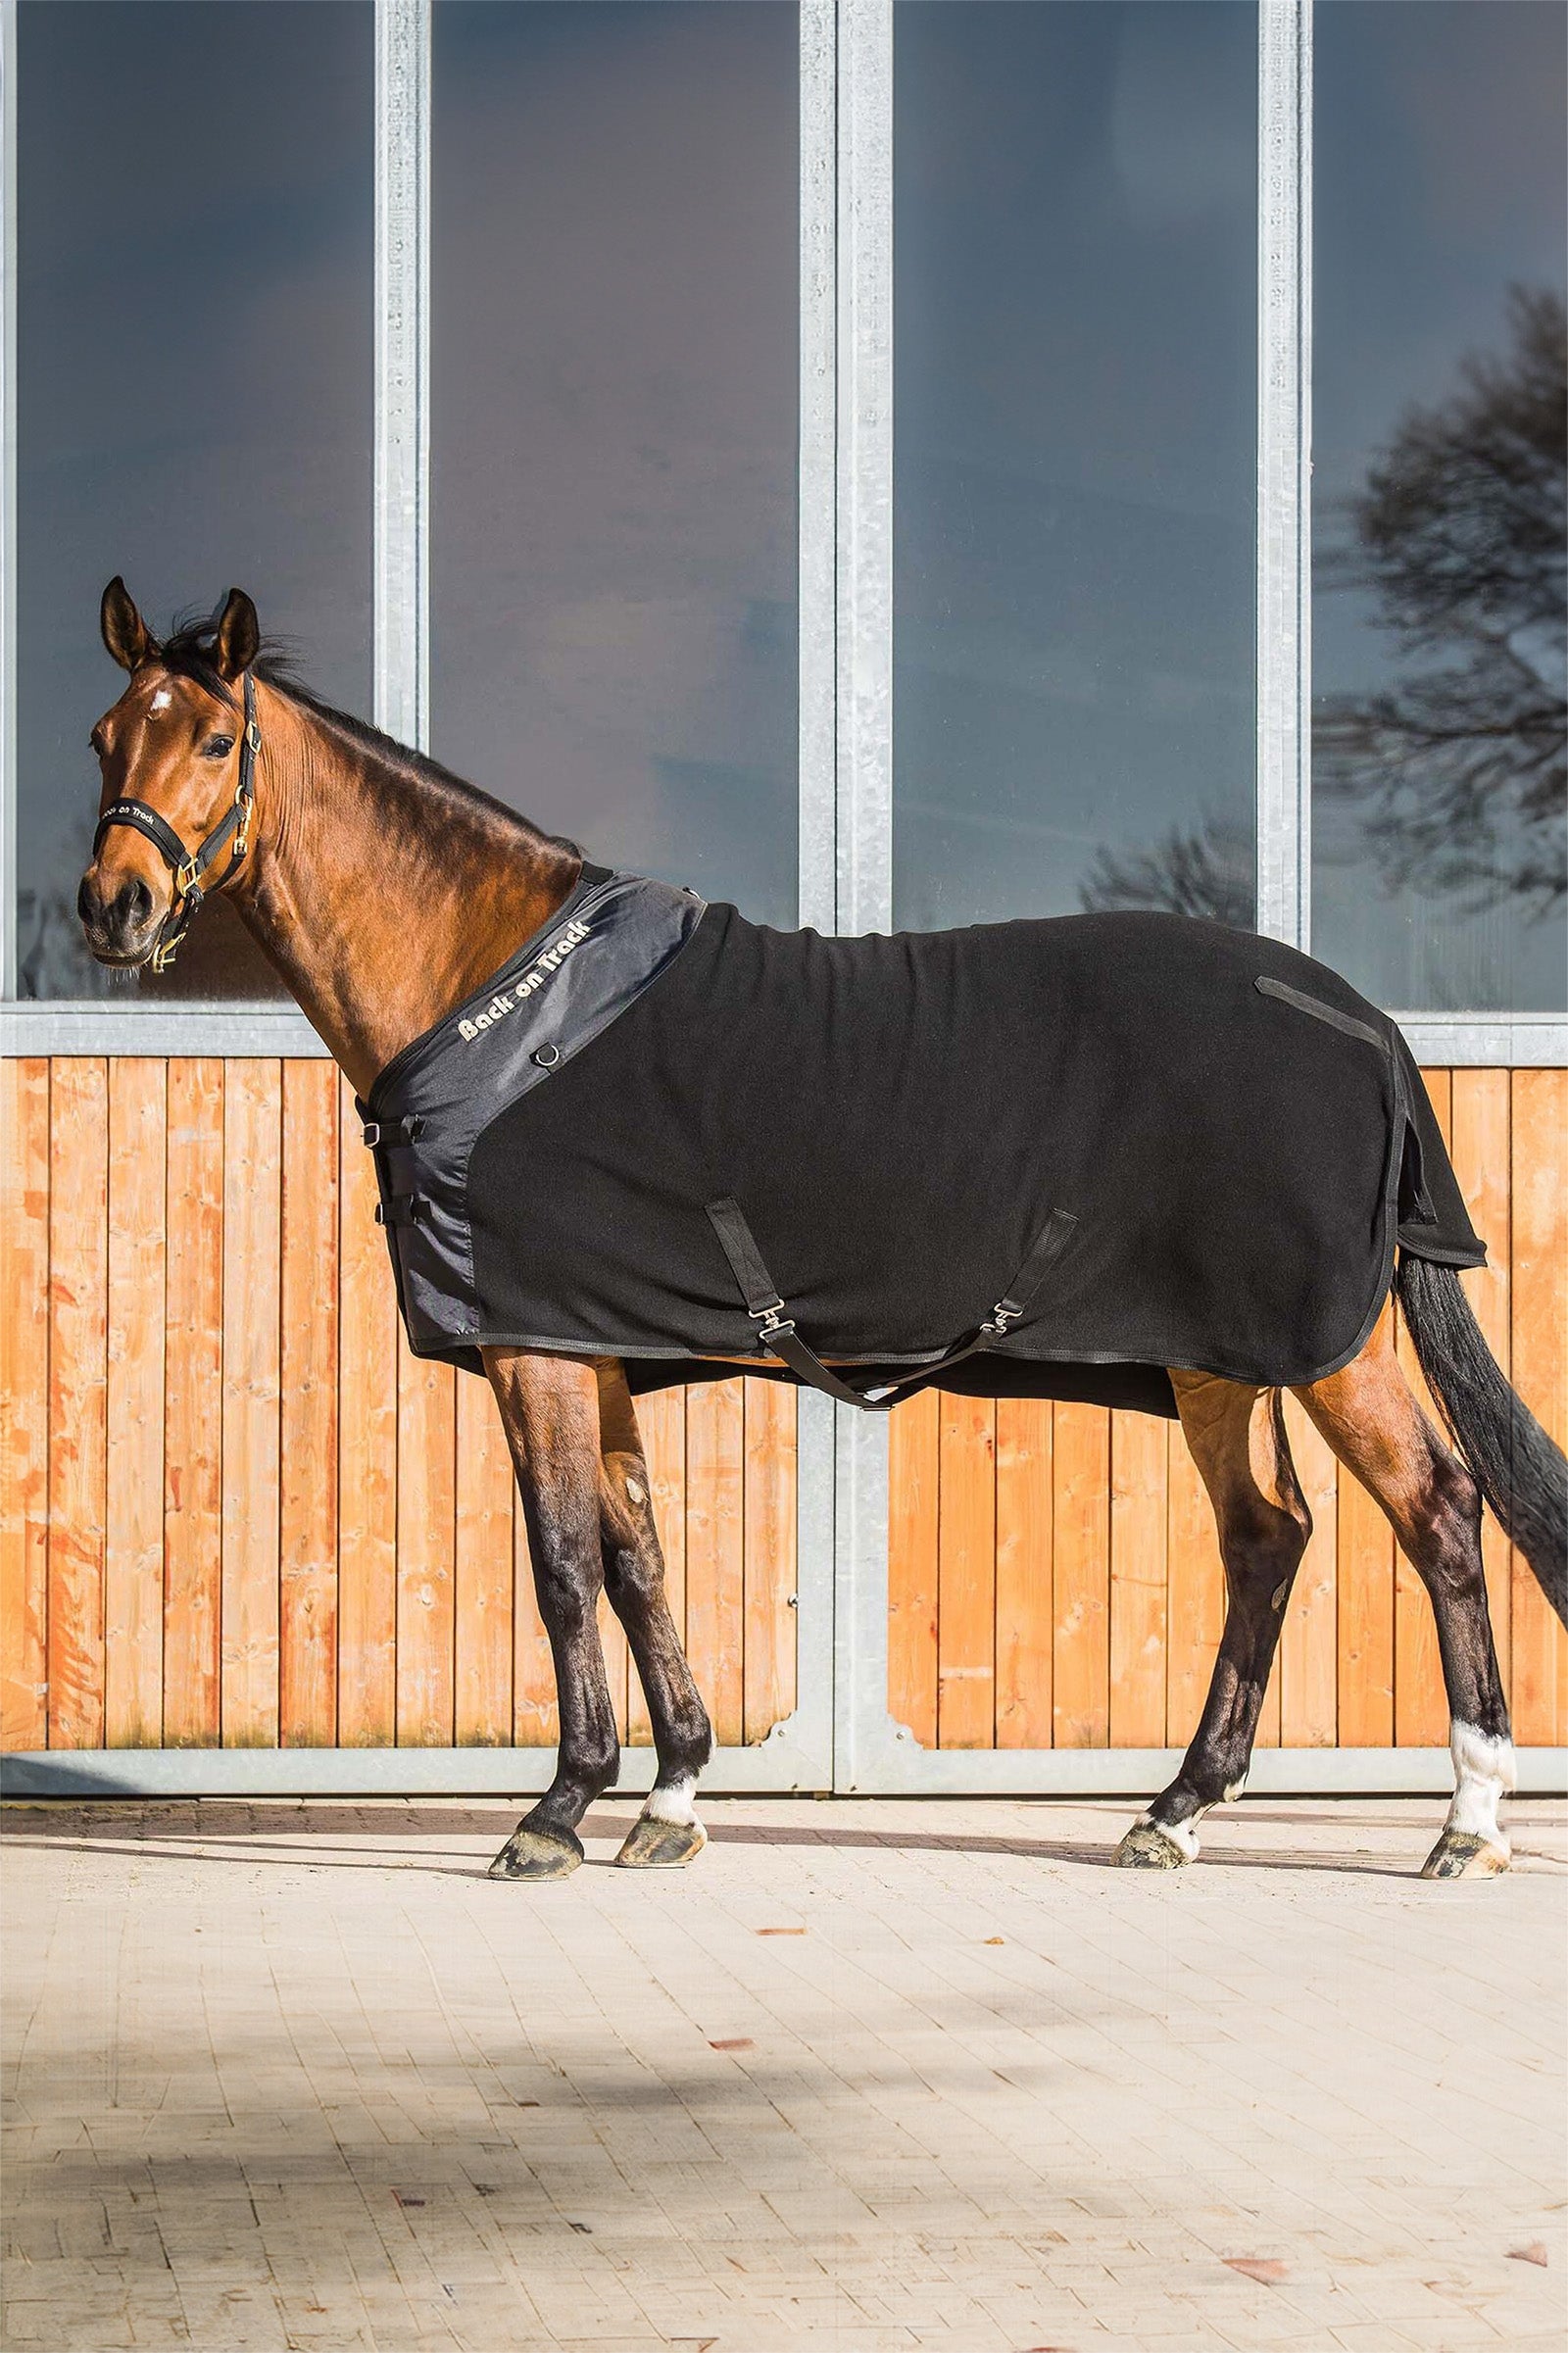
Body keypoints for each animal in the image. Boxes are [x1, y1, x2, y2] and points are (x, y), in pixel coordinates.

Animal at [77, 579, 1567, 1883]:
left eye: (214, 738)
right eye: (104, 737)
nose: (113, 906)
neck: (497, 999)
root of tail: (1364, 1023)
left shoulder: (534, 1347)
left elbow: (562, 1564)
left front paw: (556, 1812)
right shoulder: (594, 1346)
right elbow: (637, 1555)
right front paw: (671, 1798)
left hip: (1330, 1348)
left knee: (1441, 1513)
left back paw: (1468, 1821)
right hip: (1215, 1366)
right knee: (1265, 1538)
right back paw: (1177, 1810)